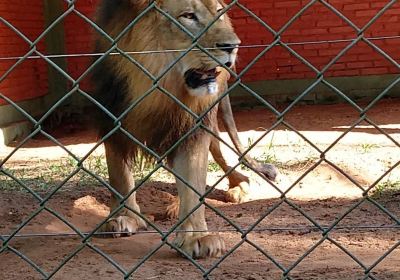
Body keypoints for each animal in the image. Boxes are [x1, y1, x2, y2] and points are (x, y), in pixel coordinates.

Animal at [92, 0, 276, 260]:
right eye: (188, 16)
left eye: (218, 12)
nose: (233, 46)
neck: (159, 90)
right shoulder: (112, 117)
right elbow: (120, 175)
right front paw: (123, 217)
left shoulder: (193, 127)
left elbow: (192, 181)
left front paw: (195, 237)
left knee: (225, 159)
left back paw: (236, 188)